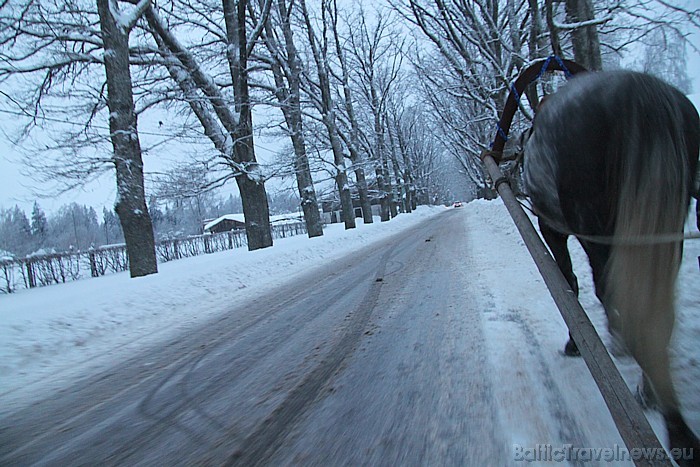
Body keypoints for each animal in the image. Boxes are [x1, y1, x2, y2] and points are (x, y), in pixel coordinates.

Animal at [524, 69, 700, 460]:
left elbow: (569, 283)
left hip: (596, 225)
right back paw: (663, 410)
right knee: (655, 310)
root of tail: (639, 87)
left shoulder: (553, 228)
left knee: (616, 293)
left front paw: (577, 343)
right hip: (666, 226)